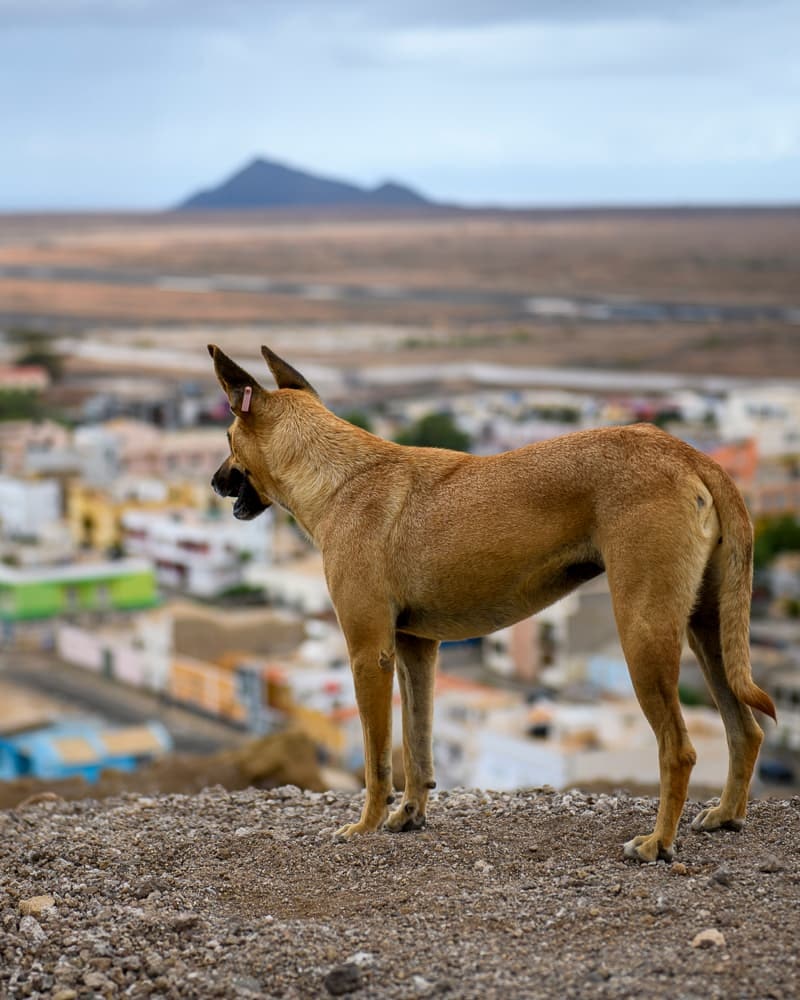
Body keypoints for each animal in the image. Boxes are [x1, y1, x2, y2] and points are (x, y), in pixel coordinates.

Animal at [209, 344, 772, 860]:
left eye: (229, 439)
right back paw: (726, 814)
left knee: (679, 749)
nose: (215, 481)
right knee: (744, 731)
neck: (339, 477)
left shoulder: (370, 653)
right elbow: (418, 745)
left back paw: (658, 842)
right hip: (707, 630)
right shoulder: (416, 648)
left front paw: (365, 825)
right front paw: (409, 814)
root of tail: (689, 454)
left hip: (644, 633)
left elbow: (377, 758)